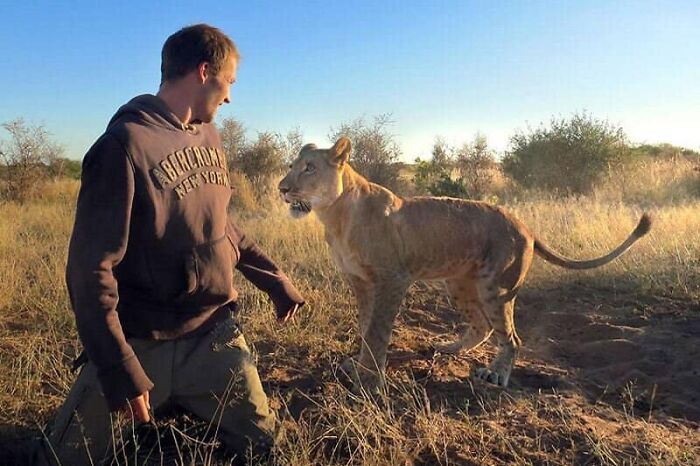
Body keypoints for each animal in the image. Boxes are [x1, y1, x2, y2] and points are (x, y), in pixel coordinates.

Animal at [278, 136, 651, 390]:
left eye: (309, 168)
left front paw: (369, 380)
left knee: (511, 338)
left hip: (495, 288)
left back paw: (496, 375)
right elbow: (366, 327)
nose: (282, 188)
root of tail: (526, 226)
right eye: (290, 166)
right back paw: (447, 348)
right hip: (458, 284)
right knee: (482, 326)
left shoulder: (392, 280)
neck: (335, 217)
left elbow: (378, 332)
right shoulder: (360, 282)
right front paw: (358, 367)